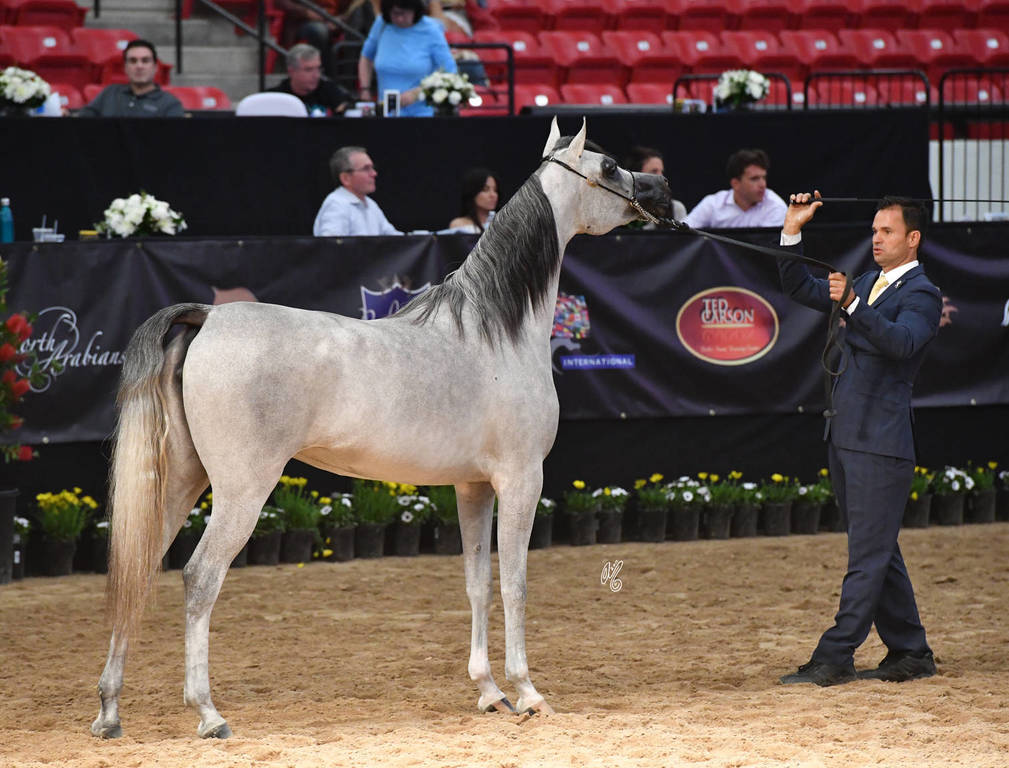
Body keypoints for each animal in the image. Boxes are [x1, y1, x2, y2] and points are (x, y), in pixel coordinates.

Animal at [91, 118, 673, 739]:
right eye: (609, 166)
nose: (662, 190)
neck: (495, 331)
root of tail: (208, 315)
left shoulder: (473, 487)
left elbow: (477, 583)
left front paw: (490, 692)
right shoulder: (521, 481)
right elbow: (514, 584)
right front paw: (527, 692)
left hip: (181, 480)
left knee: (137, 571)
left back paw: (109, 712)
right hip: (241, 490)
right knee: (200, 577)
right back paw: (208, 713)